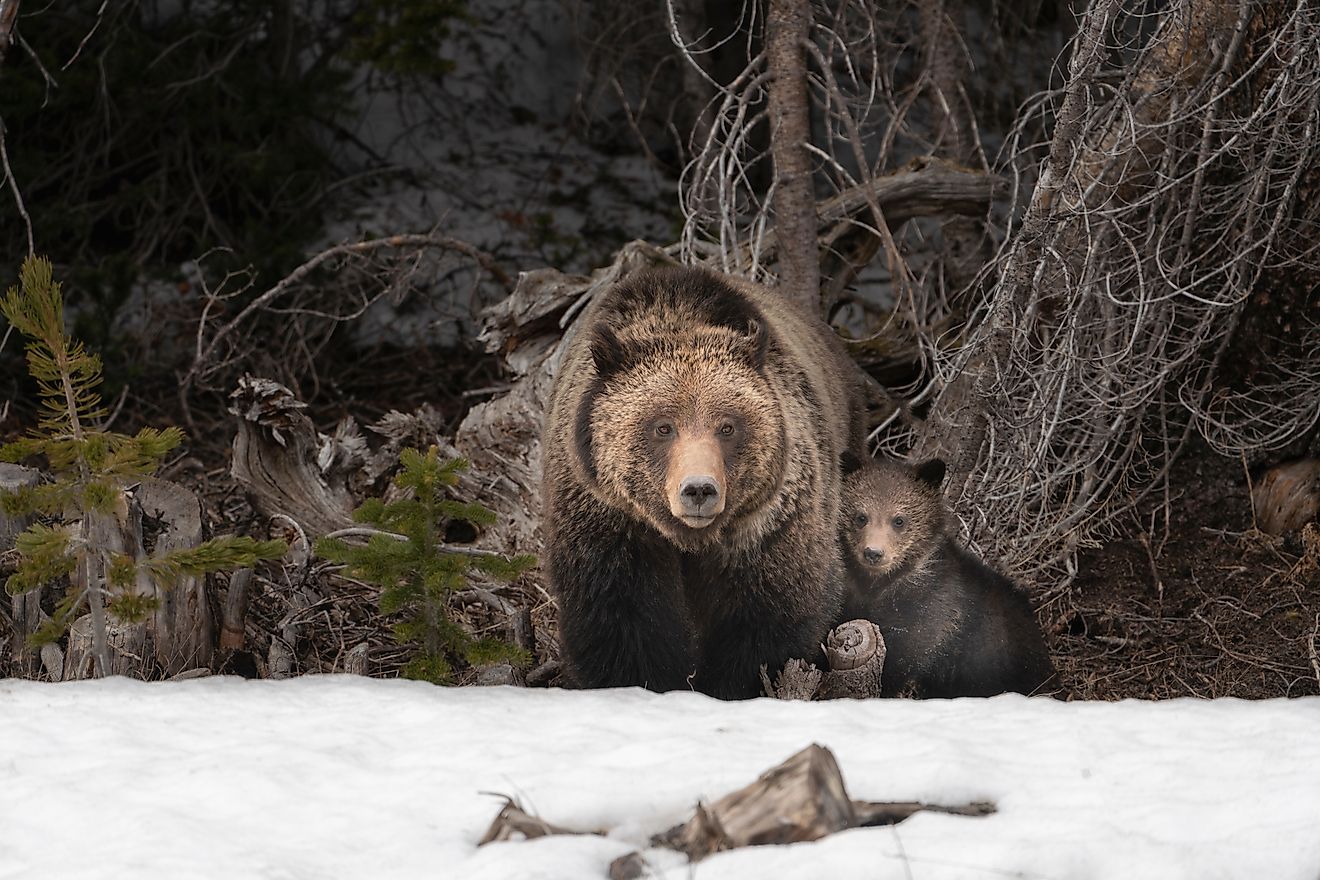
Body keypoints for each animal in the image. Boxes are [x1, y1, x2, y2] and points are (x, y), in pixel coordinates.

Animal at [541, 265, 867, 699]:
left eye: (727, 426)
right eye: (663, 426)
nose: (699, 489)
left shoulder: (766, 525)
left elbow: (768, 614)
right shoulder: (608, 519)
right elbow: (620, 617)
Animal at [838, 451, 1056, 698]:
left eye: (899, 520)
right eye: (861, 516)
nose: (873, 553)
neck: (880, 585)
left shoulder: (932, 615)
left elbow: (903, 659)